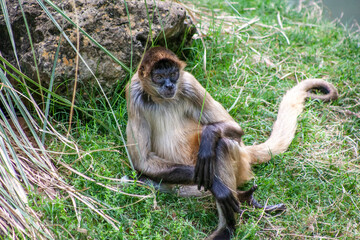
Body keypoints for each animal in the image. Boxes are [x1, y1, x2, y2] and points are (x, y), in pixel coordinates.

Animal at [125, 46, 338, 238]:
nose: (169, 85)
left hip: (238, 162)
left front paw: (210, 136)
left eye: (173, 74)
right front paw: (217, 186)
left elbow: (234, 128)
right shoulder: (134, 92)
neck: (163, 100)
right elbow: (143, 163)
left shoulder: (188, 82)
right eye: (159, 77)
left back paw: (228, 225)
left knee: (222, 145)